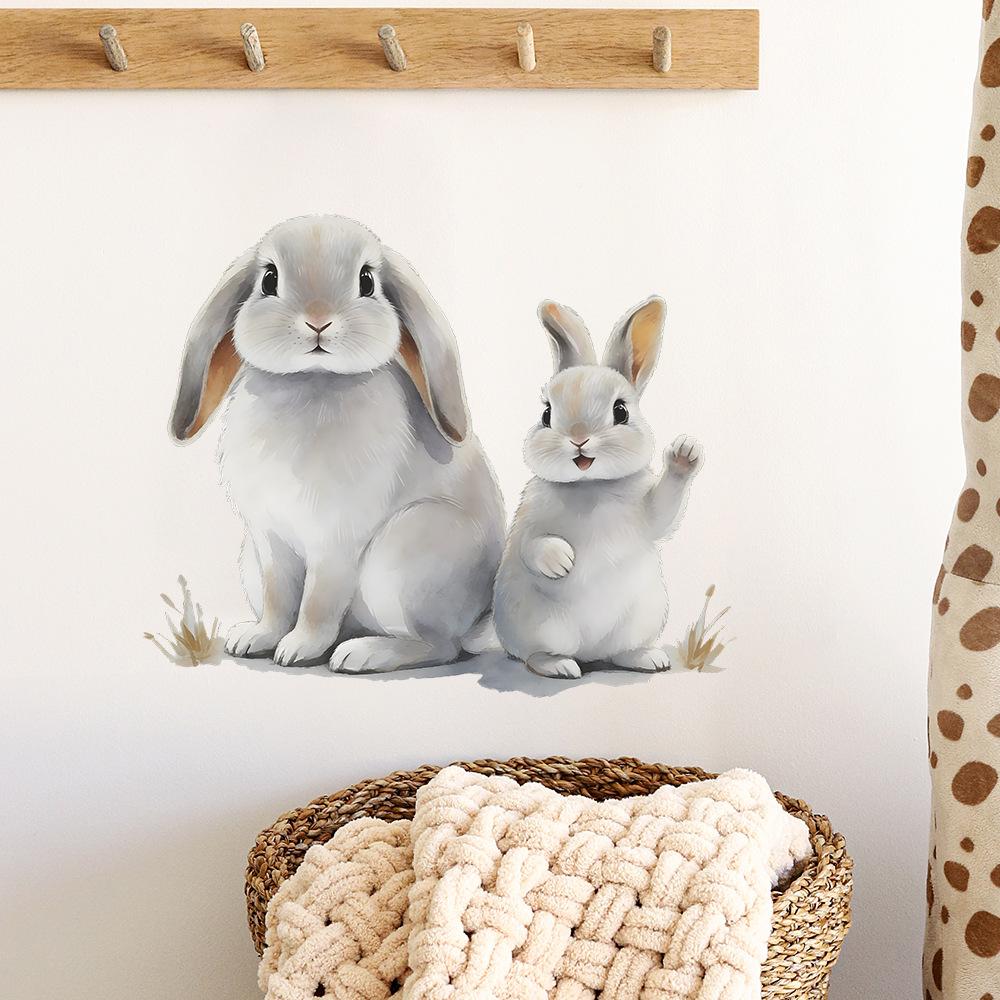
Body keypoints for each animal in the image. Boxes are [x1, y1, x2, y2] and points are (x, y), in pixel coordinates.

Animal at [169, 214, 505, 672]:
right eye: (269, 279)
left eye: (367, 280)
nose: (318, 321)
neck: (314, 379)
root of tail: (476, 619)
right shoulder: (270, 541)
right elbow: (279, 599)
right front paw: (258, 639)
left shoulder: (335, 543)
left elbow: (318, 602)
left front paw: (297, 649)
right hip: (251, 560)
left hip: (403, 557)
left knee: (440, 646)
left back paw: (360, 654)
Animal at [492, 296, 702, 679]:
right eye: (546, 415)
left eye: (621, 411)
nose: (578, 439)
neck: (590, 487)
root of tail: (589, 653)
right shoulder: (528, 519)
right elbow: (530, 545)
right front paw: (562, 562)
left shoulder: (647, 511)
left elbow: (665, 510)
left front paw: (685, 451)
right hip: (543, 627)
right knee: (534, 655)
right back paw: (561, 666)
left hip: (640, 618)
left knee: (619, 653)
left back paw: (649, 660)